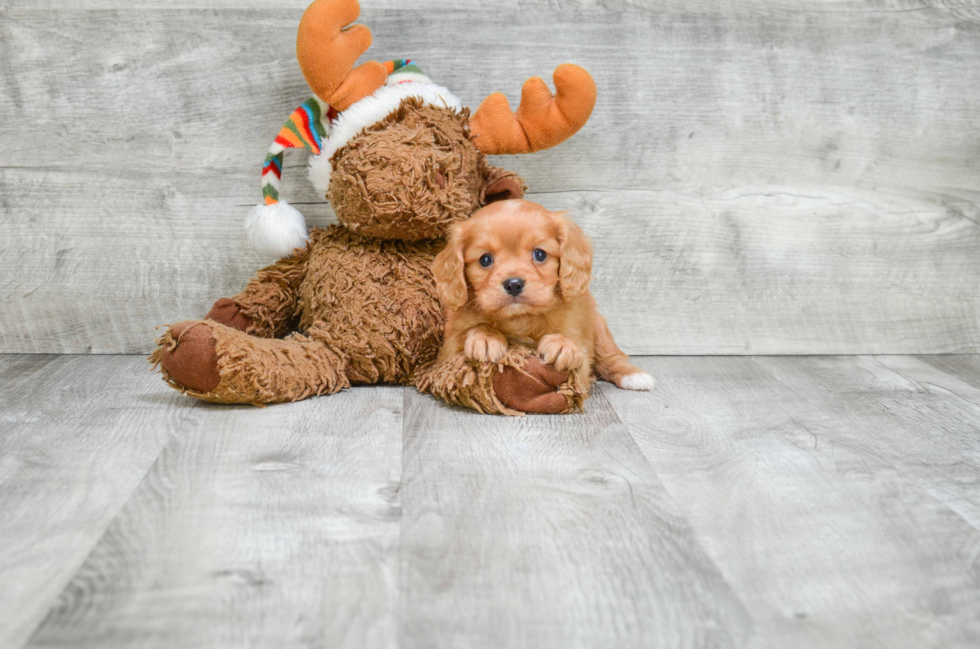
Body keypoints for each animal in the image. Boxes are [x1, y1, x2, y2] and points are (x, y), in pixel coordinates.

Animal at [434, 197, 652, 394]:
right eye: (485, 259)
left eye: (539, 254)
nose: (514, 284)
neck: (520, 318)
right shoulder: (447, 352)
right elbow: (467, 333)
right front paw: (485, 336)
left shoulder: (579, 344)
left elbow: (577, 355)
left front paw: (562, 345)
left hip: (599, 327)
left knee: (611, 356)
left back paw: (634, 376)